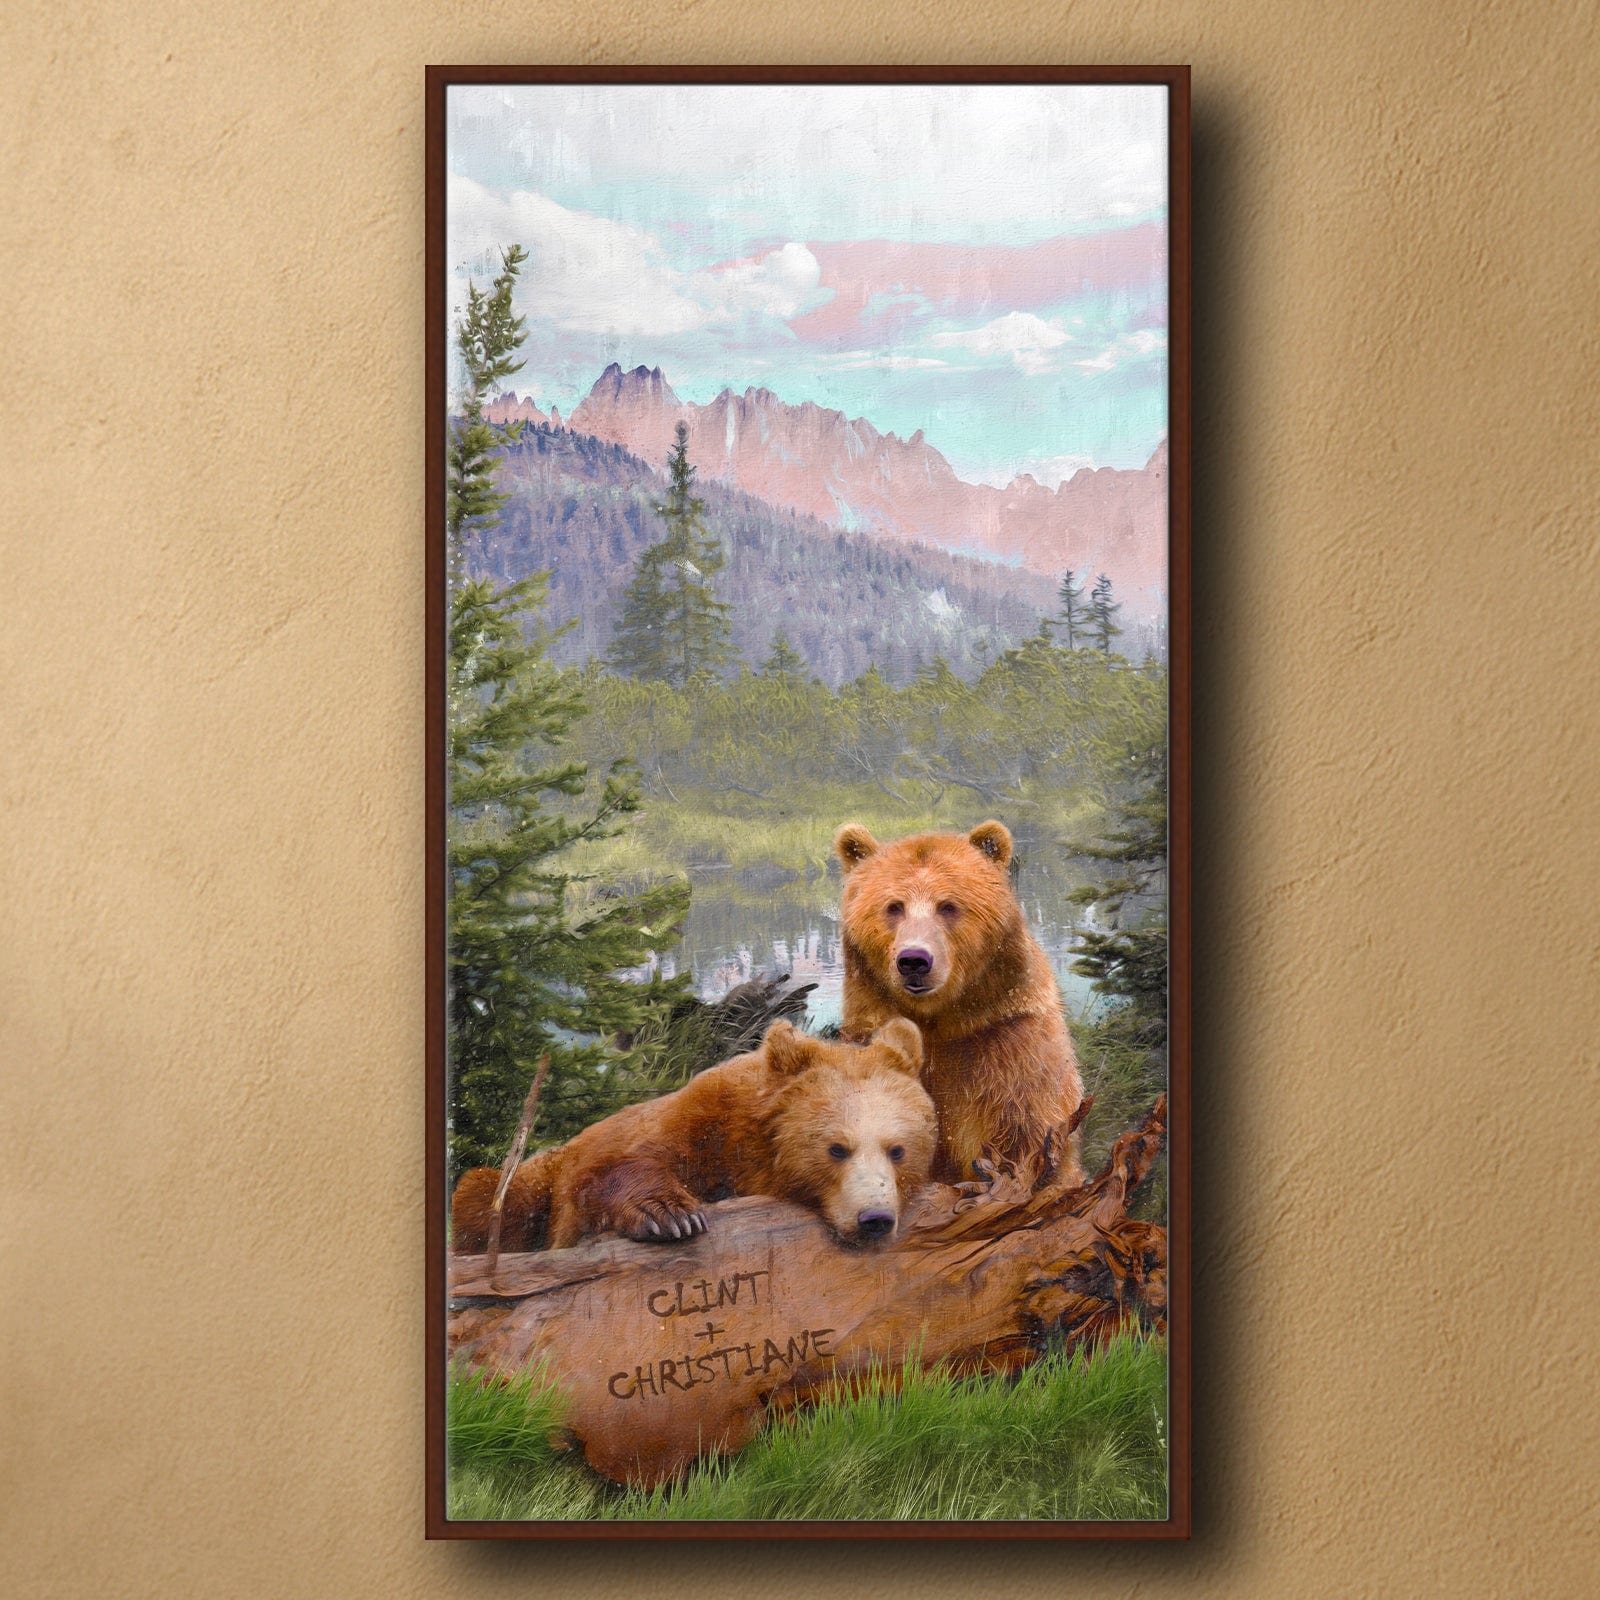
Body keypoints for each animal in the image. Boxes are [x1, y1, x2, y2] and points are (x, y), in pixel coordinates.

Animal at [451, 1018, 936, 1253]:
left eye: (897, 1150)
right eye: (837, 1148)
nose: (875, 1219)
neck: (752, 1153)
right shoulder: (698, 1127)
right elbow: (607, 1170)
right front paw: (671, 1215)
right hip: (529, 1181)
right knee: (485, 1196)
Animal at [833, 819, 1085, 1186]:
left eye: (948, 906)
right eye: (894, 906)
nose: (914, 960)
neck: (937, 1024)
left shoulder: (1008, 1043)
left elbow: (1023, 1134)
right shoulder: (868, 1045)